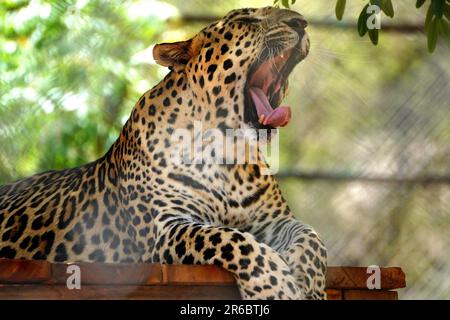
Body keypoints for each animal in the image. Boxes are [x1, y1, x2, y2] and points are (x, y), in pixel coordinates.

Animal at [0, 5, 326, 300]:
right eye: (247, 20)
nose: (301, 23)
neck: (227, 156)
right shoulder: (167, 228)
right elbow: (232, 239)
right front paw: (277, 287)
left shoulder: (275, 220)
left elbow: (312, 237)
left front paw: (310, 284)